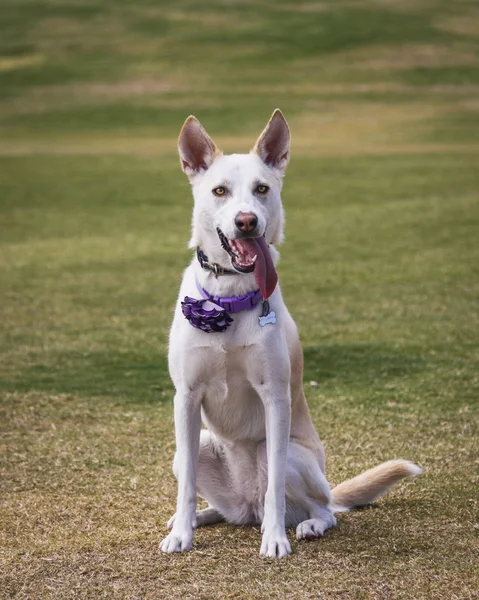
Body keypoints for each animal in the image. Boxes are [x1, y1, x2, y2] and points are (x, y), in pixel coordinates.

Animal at [159, 111, 422, 556]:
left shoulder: (275, 397)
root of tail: (245, 506)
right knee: (223, 502)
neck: (230, 299)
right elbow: (187, 486)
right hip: (198, 445)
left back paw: (304, 525)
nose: (247, 221)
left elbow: (276, 493)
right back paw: (198, 517)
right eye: (219, 190)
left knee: (318, 508)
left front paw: (275, 541)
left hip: (286, 456)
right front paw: (181, 533)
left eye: (262, 189)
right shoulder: (187, 397)